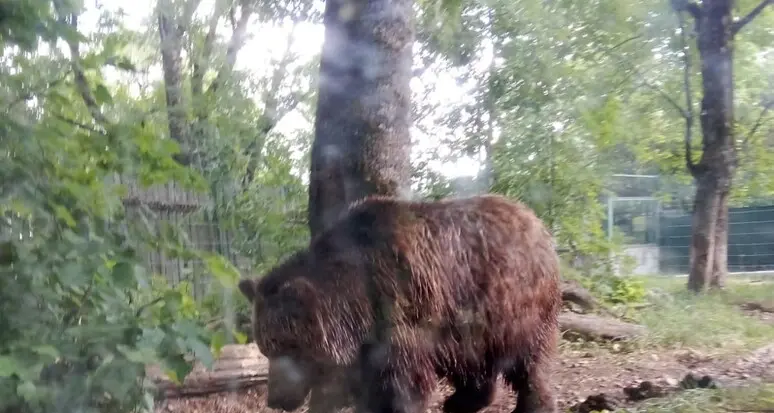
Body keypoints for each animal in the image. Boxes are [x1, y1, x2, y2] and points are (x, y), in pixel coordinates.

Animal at [238, 194, 562, 413]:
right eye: (265, 348)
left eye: (289, 346)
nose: (276, 399)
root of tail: (536, 222)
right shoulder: (367, 346)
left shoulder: (403, 314)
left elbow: (404, 384)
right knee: (476, 363)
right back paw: (461, 401)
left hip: (514, 305)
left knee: (528, 361)